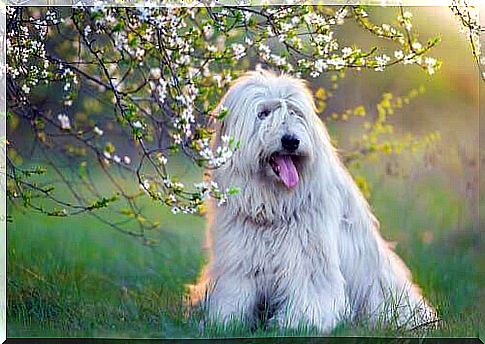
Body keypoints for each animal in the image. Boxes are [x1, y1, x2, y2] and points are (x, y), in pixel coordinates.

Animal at [191, 69, 436, 334]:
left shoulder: (308, 261)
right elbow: (233, 295)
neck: (273, 206)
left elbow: (309, 295)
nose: (291, 141)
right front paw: (224, 323)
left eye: (295, 113)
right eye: (263, 113)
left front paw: (296, 324)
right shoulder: (238, 262)